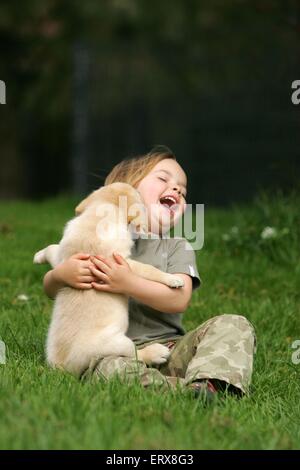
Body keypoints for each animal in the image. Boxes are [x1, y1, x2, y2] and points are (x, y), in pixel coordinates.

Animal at [32, 182, 183, 376]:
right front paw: (172, 279)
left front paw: (38, 256)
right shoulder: (124, 263)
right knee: (136, 354)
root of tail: (61, 368)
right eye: (139, 195)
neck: (97, 217)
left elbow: (52, 248)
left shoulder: (62, 258)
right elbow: (149, 270)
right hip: (118, 343)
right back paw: (157, 352)